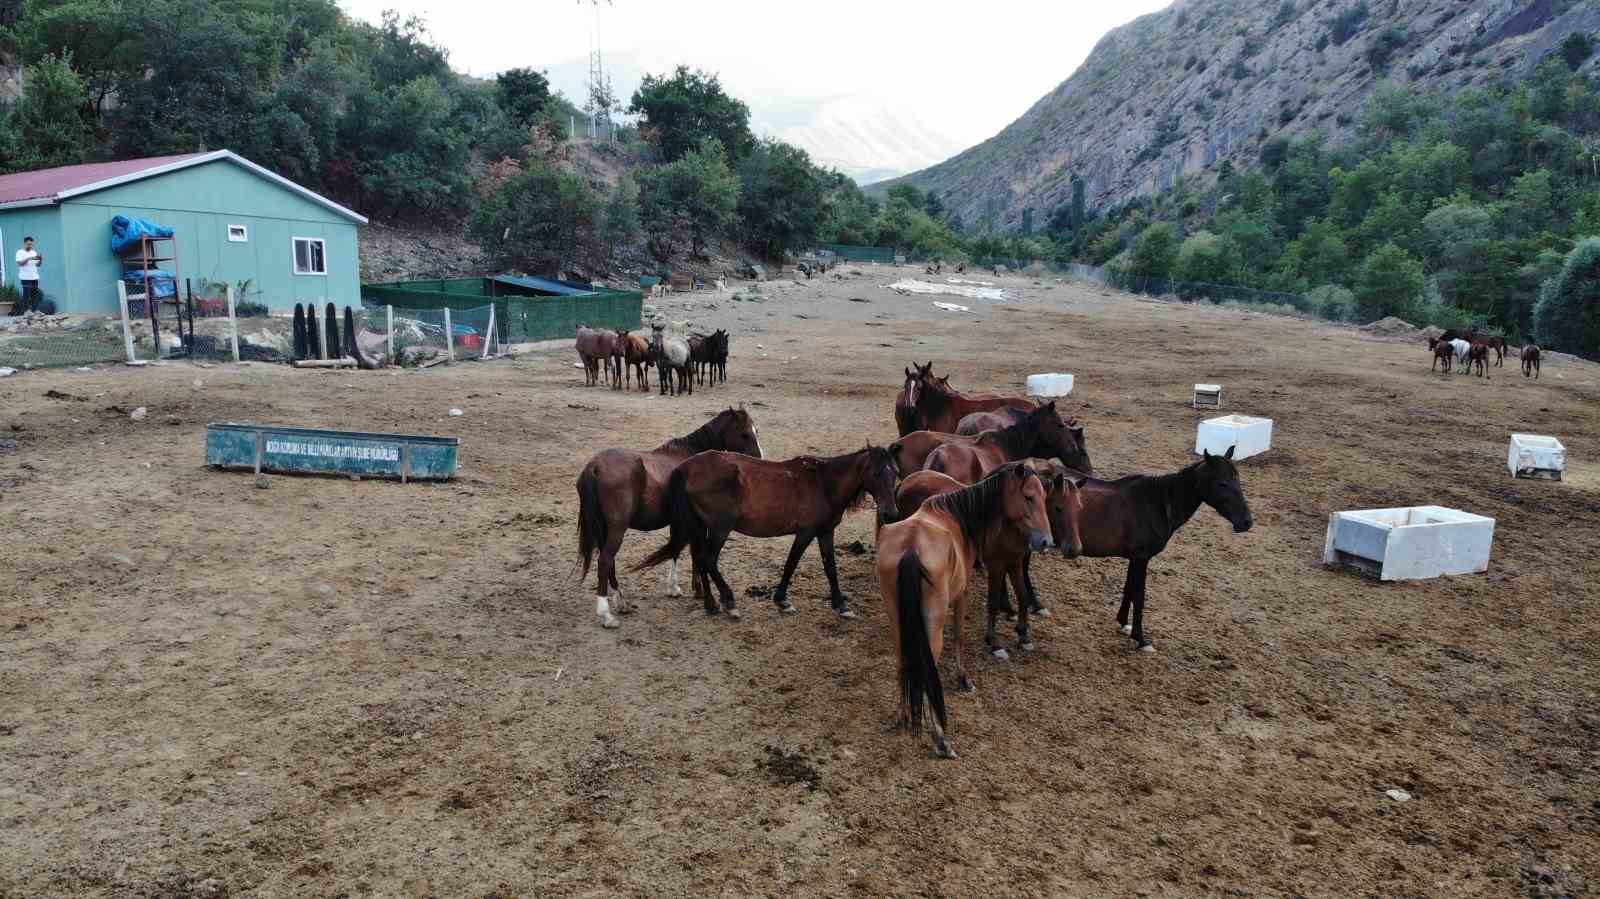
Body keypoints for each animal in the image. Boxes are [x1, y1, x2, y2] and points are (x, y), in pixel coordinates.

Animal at [579, 406, 764, 623]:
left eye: (756, 431)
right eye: (745, 434)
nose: (759, 460)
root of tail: (595, 467)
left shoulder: (680, 522)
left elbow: (677, 549)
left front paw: (681, 588)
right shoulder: (693, 523)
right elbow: (692, 552)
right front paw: (694, 591)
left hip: (604, 529)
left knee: (609, 563)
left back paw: (621, 602)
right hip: (617, 528)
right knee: (605, 561)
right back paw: (606, 614)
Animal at [630, 444, 902, 620]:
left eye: (896, 473)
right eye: (876, 472)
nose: (890, 513)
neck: (824, 484)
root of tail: (686, 467)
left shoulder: (825, 532)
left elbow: (830, 567)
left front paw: (840, 604)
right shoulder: (806, 532)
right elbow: (791, 563)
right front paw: (782, 600)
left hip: (702, 526)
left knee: (700, 559)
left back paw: (711, 604)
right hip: (720, 527)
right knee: (708, 560)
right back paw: (728, 601)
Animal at [870, 460, 1056, 755]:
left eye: (1044, 497)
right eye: (1029, 497)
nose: (1046, 541)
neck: (956, 516)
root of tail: (910, 548)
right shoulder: (965, 590)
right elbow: (961, 634)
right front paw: (965, 676)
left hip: (897, 618)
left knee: (902, 658)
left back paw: (903, 716)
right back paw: (940, 739)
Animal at [1056, 444, 1254, 646]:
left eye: (1238, 481)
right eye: (1222, 483)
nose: (1246, 522)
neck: (1156, 505)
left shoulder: (1135, 558)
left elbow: (1129, 588)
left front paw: (1124, 623)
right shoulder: (1142, 558)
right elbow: (1139, 595)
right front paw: (1140, 638)